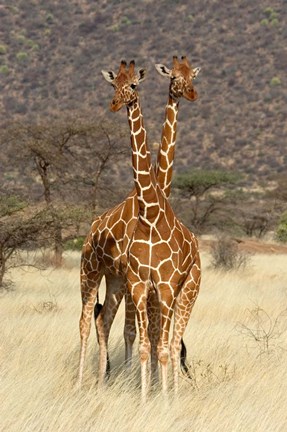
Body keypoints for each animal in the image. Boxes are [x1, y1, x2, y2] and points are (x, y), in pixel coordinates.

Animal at [78, 56, 200, 388]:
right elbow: (136, 332)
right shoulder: (139, 280)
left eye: (192, 76)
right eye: (174, 77)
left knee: (102, 319)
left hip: (114, 279)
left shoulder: (151, 284)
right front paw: (138, 381)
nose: (191, 93)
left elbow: (154, 334)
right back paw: (86, 382)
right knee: (86, 321)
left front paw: (151, 382)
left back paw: (103, 379)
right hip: (91, 271)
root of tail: (91, 229)